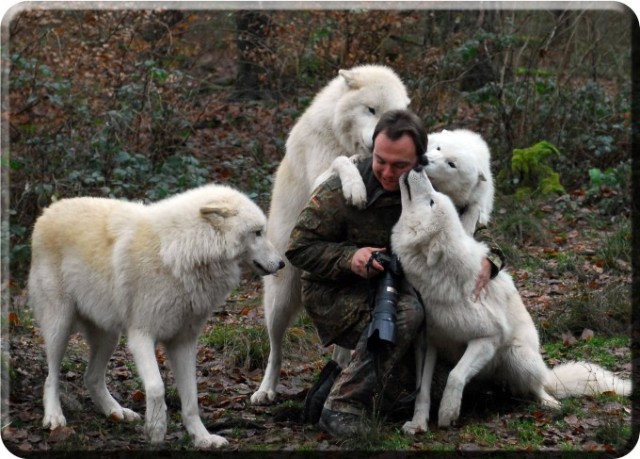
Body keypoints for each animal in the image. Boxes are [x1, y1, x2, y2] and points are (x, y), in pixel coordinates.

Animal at [27, 184, 282, 450]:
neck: (182, 251)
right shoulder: (141, 336)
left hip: (109, 336)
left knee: (92, 378)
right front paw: (157, 429)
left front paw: (202, 438)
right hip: (60, 326)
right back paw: (54, 417)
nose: (282, 263)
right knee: (51, 377)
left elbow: (191, 400)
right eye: (257, 233)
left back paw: (116, 412)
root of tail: (49, 210)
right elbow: (157, 386)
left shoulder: (183, 342)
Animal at [390, 169, 632, 434]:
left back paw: (549, 403)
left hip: (517, 355)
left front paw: (447, 412)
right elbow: (422, 390)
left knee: (538, 388)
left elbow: (456, 375)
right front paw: (418, 423)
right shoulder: (427, 342)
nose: (418, 168)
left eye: (433, 200)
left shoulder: (488, 339)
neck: (440, 279)